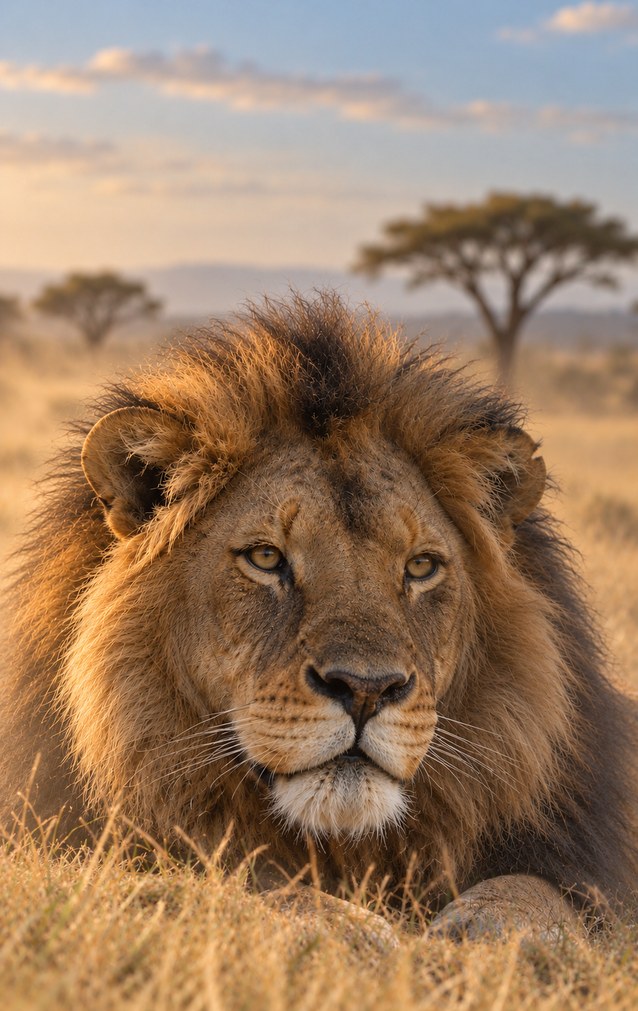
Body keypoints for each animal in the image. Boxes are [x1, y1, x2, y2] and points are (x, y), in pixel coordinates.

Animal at [1, 292, 635, 938]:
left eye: (421, 566)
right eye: (266, 558)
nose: (366, 690)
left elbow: (533, 891)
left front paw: (486, 934)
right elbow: (237, 880)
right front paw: (354, 930)